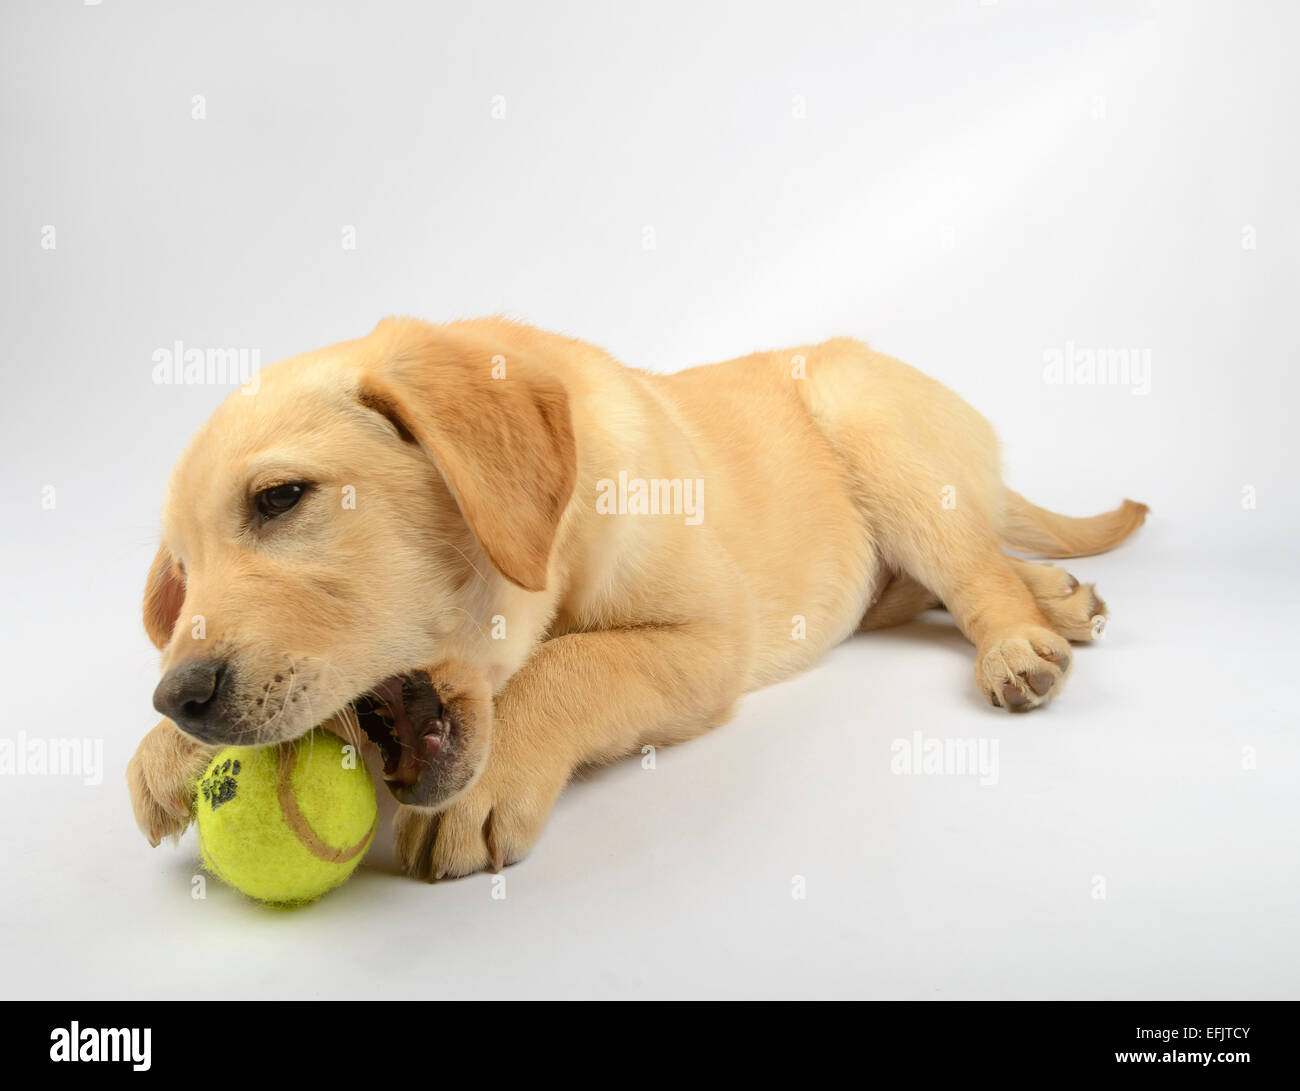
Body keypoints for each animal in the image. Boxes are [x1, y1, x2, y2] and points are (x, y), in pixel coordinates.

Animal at [129, 319, 1149, 884]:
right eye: (183, 566)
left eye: (280, 498)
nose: (180, 696)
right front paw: (164, 752)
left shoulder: (711, 638)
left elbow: (573, 660)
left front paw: (495, 779)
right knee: (945, 571)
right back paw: (1059, 596)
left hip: (874, 427)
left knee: (971, 565)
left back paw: (1019, 638)